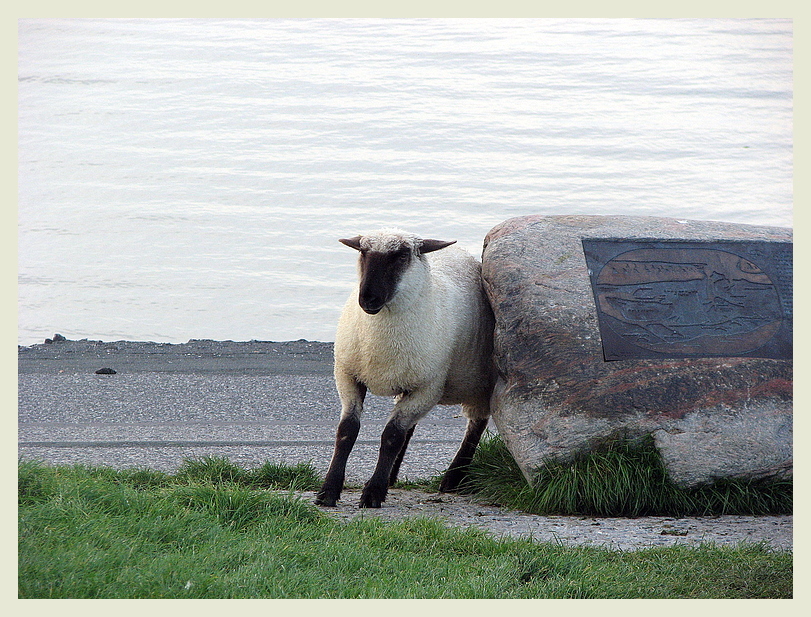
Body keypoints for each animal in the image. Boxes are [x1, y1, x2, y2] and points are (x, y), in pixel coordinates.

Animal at [316, 229, 494, 508]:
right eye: (363, 252)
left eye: (401, 256)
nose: (368, 298)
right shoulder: (348, 376)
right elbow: (347, 431)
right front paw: (329, 490)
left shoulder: (427, 388)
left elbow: (391, 437)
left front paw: (373, 493)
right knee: (409, 428)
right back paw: (393, 476)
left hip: (479, 381)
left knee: (476, 424)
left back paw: (453, 478)